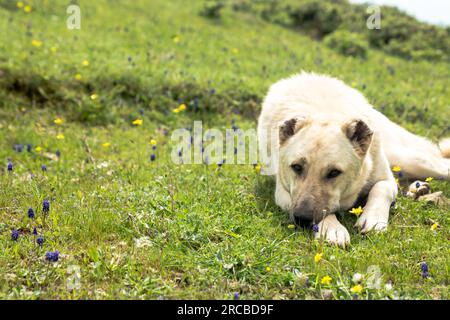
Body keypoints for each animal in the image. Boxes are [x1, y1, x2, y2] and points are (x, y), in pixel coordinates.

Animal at [256, 73, 450, 248]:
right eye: (296, 167)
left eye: (334, 172)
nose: (302, 219)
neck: (325, 114)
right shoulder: (283, 193)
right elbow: (326, 211)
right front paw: (332, 228)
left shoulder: (385, 179)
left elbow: (381, 189)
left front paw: (373, 219)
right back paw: (417, 189)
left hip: (409, 160)